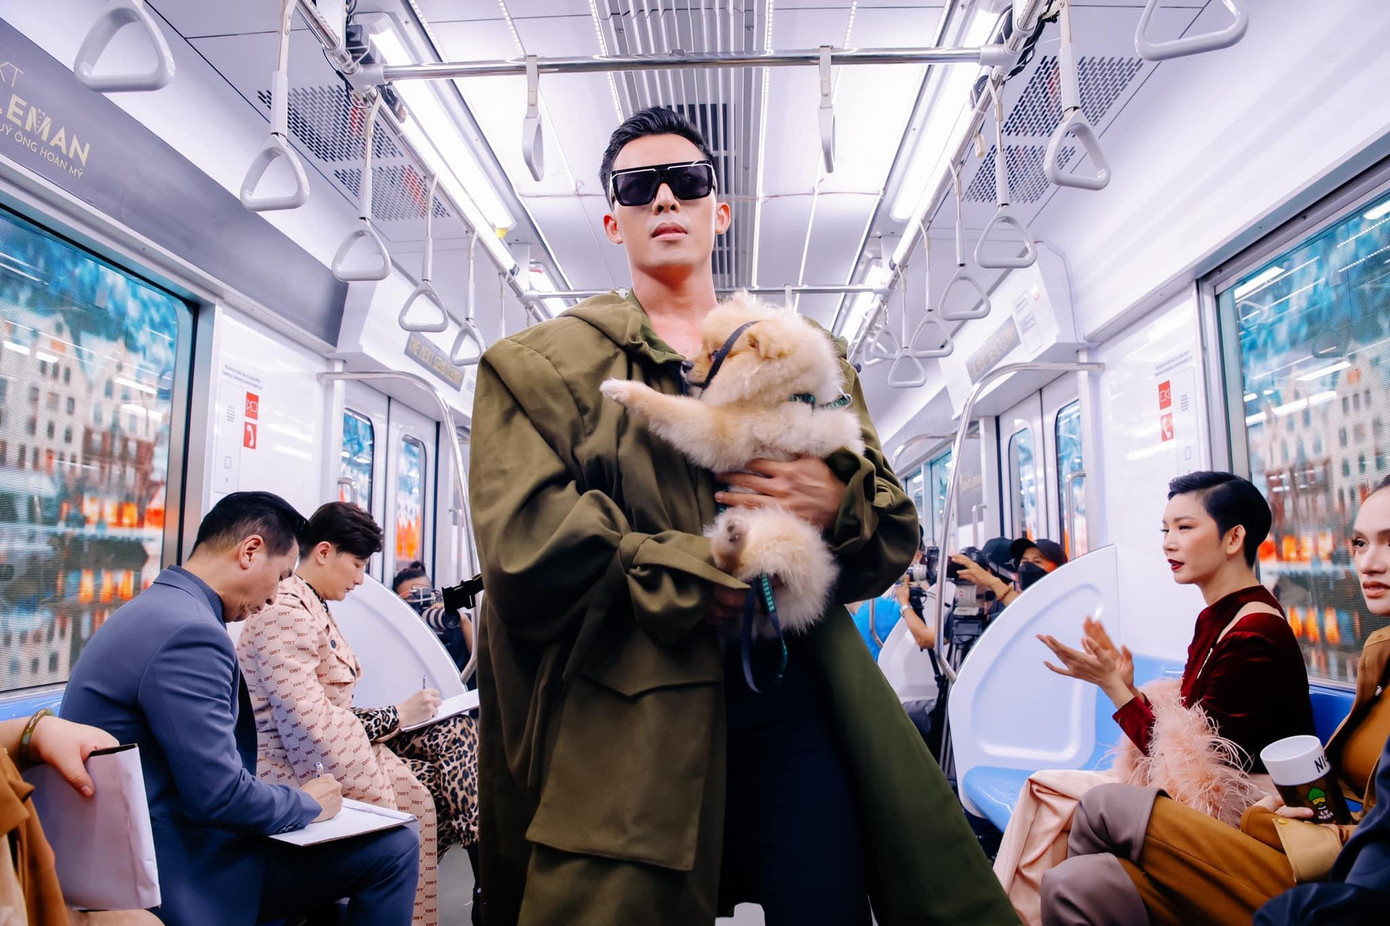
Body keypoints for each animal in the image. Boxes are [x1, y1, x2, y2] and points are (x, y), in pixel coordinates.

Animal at [600, 291, 864, 634]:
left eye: (716, 354)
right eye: (701, 347)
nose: (684, 365)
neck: (788, 394)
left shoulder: (726, 430)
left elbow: (671, 409)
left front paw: (623, 389)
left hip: (791, 535)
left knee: (738, 568)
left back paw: (732, 540)